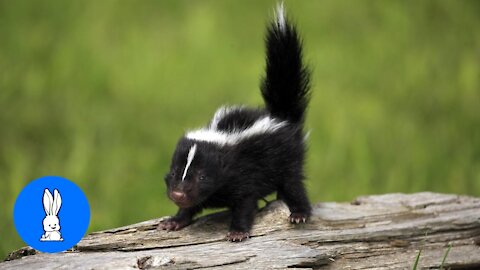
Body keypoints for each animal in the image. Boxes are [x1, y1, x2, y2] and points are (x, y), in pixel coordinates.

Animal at [159, 3, 314, 242]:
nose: (177, 193)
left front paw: (238, 232)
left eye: (202, 176)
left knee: (293, 184)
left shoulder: (246, 175)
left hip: (286, 159)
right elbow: (191, 207)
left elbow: (245, 203)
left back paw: (299, 213)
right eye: (175, 172)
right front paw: (175, 221)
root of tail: (280, 116)